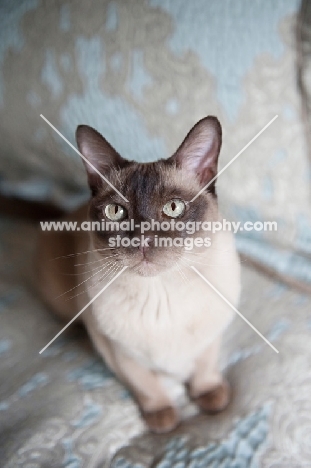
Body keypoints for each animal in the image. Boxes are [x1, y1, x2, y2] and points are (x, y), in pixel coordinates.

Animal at [37, 116, 241, 432]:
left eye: (173, 207)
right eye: (115, 211)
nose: (143, 239)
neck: (161, 293)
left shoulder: (210, 338)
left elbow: (205, 369)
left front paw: (211, 397)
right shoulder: (118, 352)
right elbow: (146, 385)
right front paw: (163, 418)